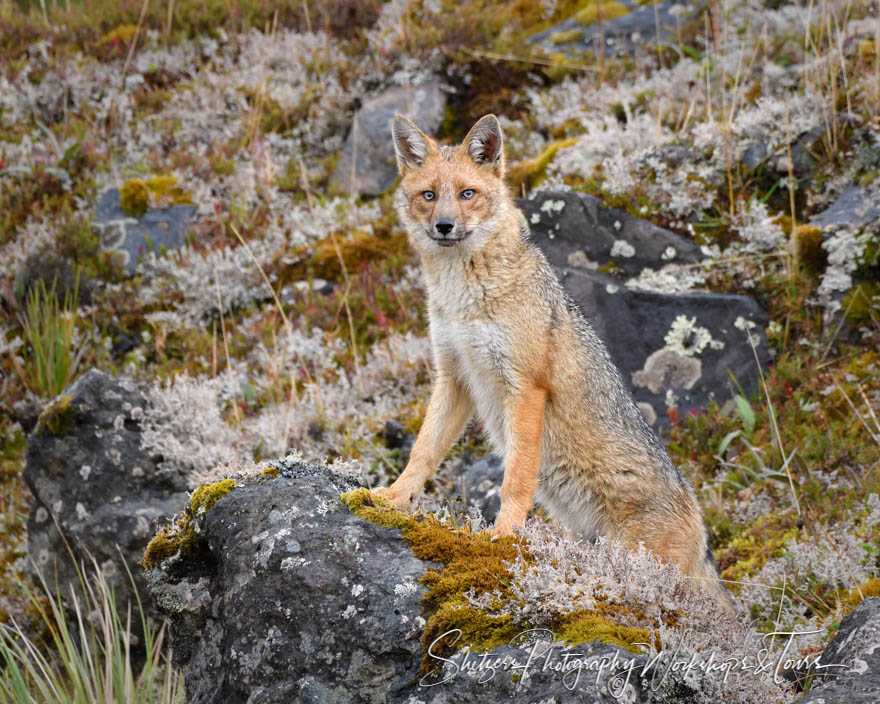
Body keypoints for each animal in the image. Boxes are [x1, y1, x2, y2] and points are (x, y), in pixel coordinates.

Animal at [374, 113, 732, 608]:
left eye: (467, 193)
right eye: (429, 195)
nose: (444, 226)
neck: (464, 299)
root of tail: (702, 532)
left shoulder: (526, 386)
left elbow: (515, 478)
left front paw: (503, 535)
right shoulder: (454, 378)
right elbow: (422, 452)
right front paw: (393, 498)